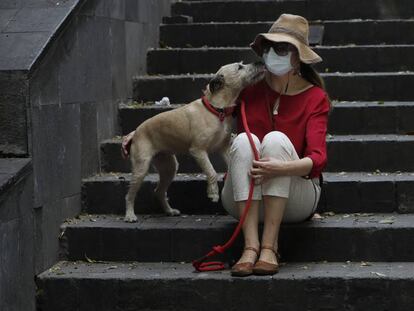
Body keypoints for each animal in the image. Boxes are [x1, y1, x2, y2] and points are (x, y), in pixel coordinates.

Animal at [124, 61, 264, 222]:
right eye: (239, 67)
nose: (260, 62)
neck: (217, 109)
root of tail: (136, 133)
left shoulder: (223, 148)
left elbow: (229, 163)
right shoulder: (198, 150)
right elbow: (211, 171)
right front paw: (213, 193)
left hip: (169, 167)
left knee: (159, 191)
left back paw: (169, 211)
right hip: (141, 167)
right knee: (130, 194)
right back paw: (130, 215)